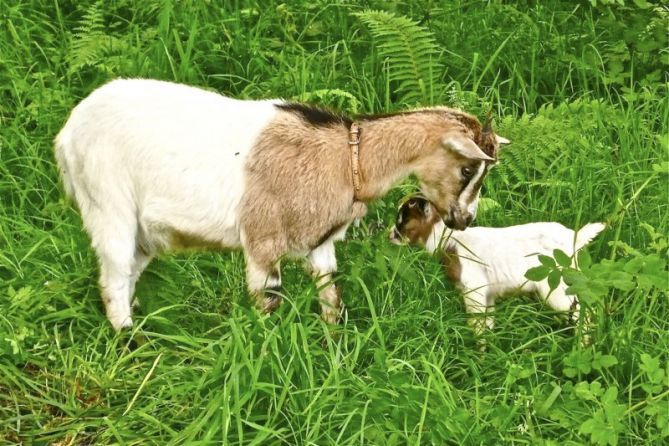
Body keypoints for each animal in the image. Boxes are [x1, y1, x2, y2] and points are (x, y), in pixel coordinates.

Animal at [56, 78, 506, 330]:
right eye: (468, 169)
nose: (464, 220)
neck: (345, 159)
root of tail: (68, 134)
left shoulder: (320, 243)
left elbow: (330, 296)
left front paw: (333, 349)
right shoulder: (262, 241)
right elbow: (268, 302)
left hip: (145, 230)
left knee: (129, 271)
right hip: (108, 202)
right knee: (113, 276)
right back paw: (128, 337)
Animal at [388, 199, 604, 342]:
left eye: (402, 221)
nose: (390, 235)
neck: (449, 239)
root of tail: (575, 239)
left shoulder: (473, 289)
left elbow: (476, 323)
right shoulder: (487, 294)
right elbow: (488, 321)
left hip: (557, 282)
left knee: (580, 310)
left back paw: (582, 343)